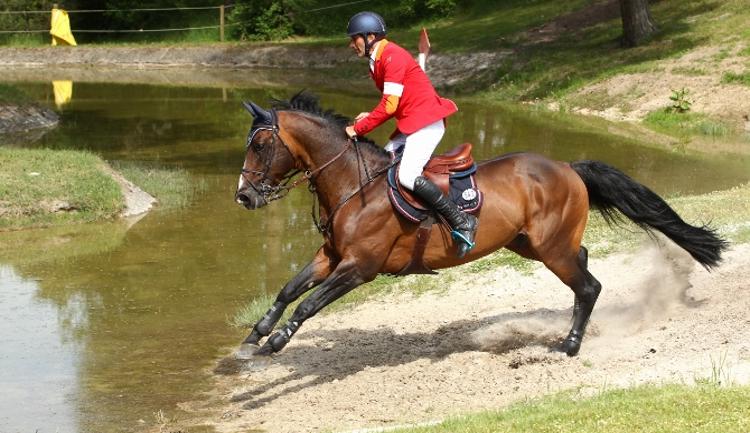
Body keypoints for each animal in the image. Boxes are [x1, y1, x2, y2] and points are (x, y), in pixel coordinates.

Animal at [234, 93, 728, 360]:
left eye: (259, 145)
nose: (244, 196)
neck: (354, 187)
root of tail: (567, 166)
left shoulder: (359, 268)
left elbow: (308, 304)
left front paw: (277, 341)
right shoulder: (331, 256)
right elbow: (289, 289)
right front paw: (255, 334)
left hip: (550, 248)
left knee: (589, 286)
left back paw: (569, 345)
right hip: (531, 244)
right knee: (584, 265)